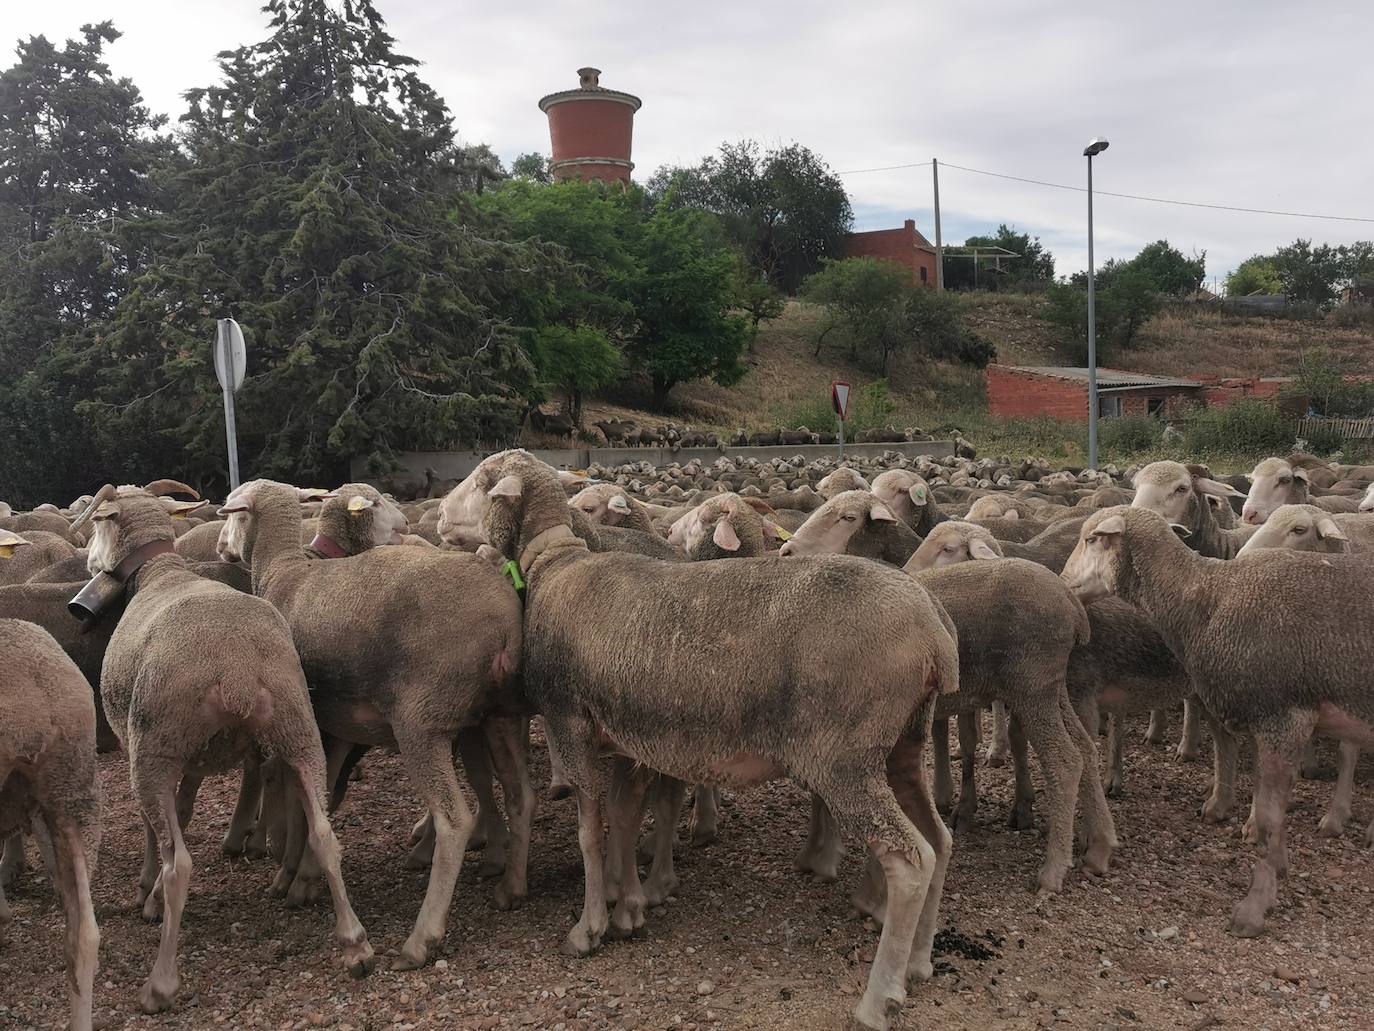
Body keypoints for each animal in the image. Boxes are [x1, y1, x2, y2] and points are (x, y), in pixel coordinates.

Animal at [439, 450, 956, 1031]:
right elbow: (624, 819)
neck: (556, 564)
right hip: (900, 744)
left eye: (480, 484)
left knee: (909, 860)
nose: (438, 515)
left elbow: (591, 833)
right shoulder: (630, 737)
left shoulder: (569, 722)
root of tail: (934, 630)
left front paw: (589, 927)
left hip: (845, 756)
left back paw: (879, 996)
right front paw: (629, 909)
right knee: (939, 842)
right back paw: (919, 964)